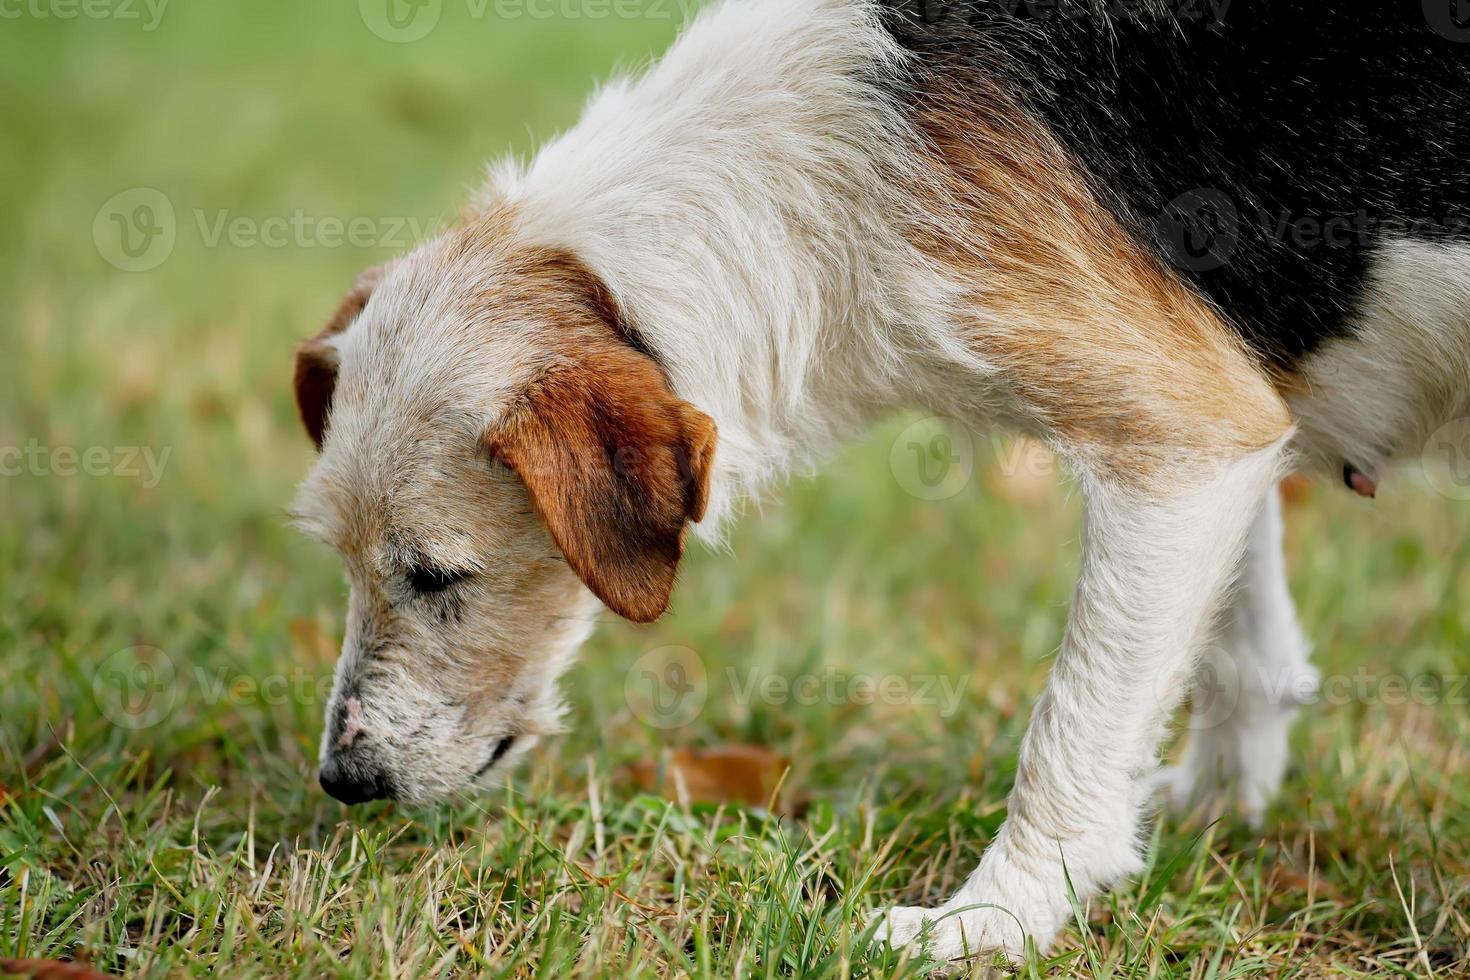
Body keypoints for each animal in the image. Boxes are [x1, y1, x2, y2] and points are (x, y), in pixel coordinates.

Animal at [286, 0, 1470, 963]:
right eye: (342, 562)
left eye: (438, 575)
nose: (345, 783)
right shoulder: (1232, 424)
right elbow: (1241, 647)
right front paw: (1212, 807)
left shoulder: (1181, 438)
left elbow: (1073, 727)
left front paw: (995, 918)